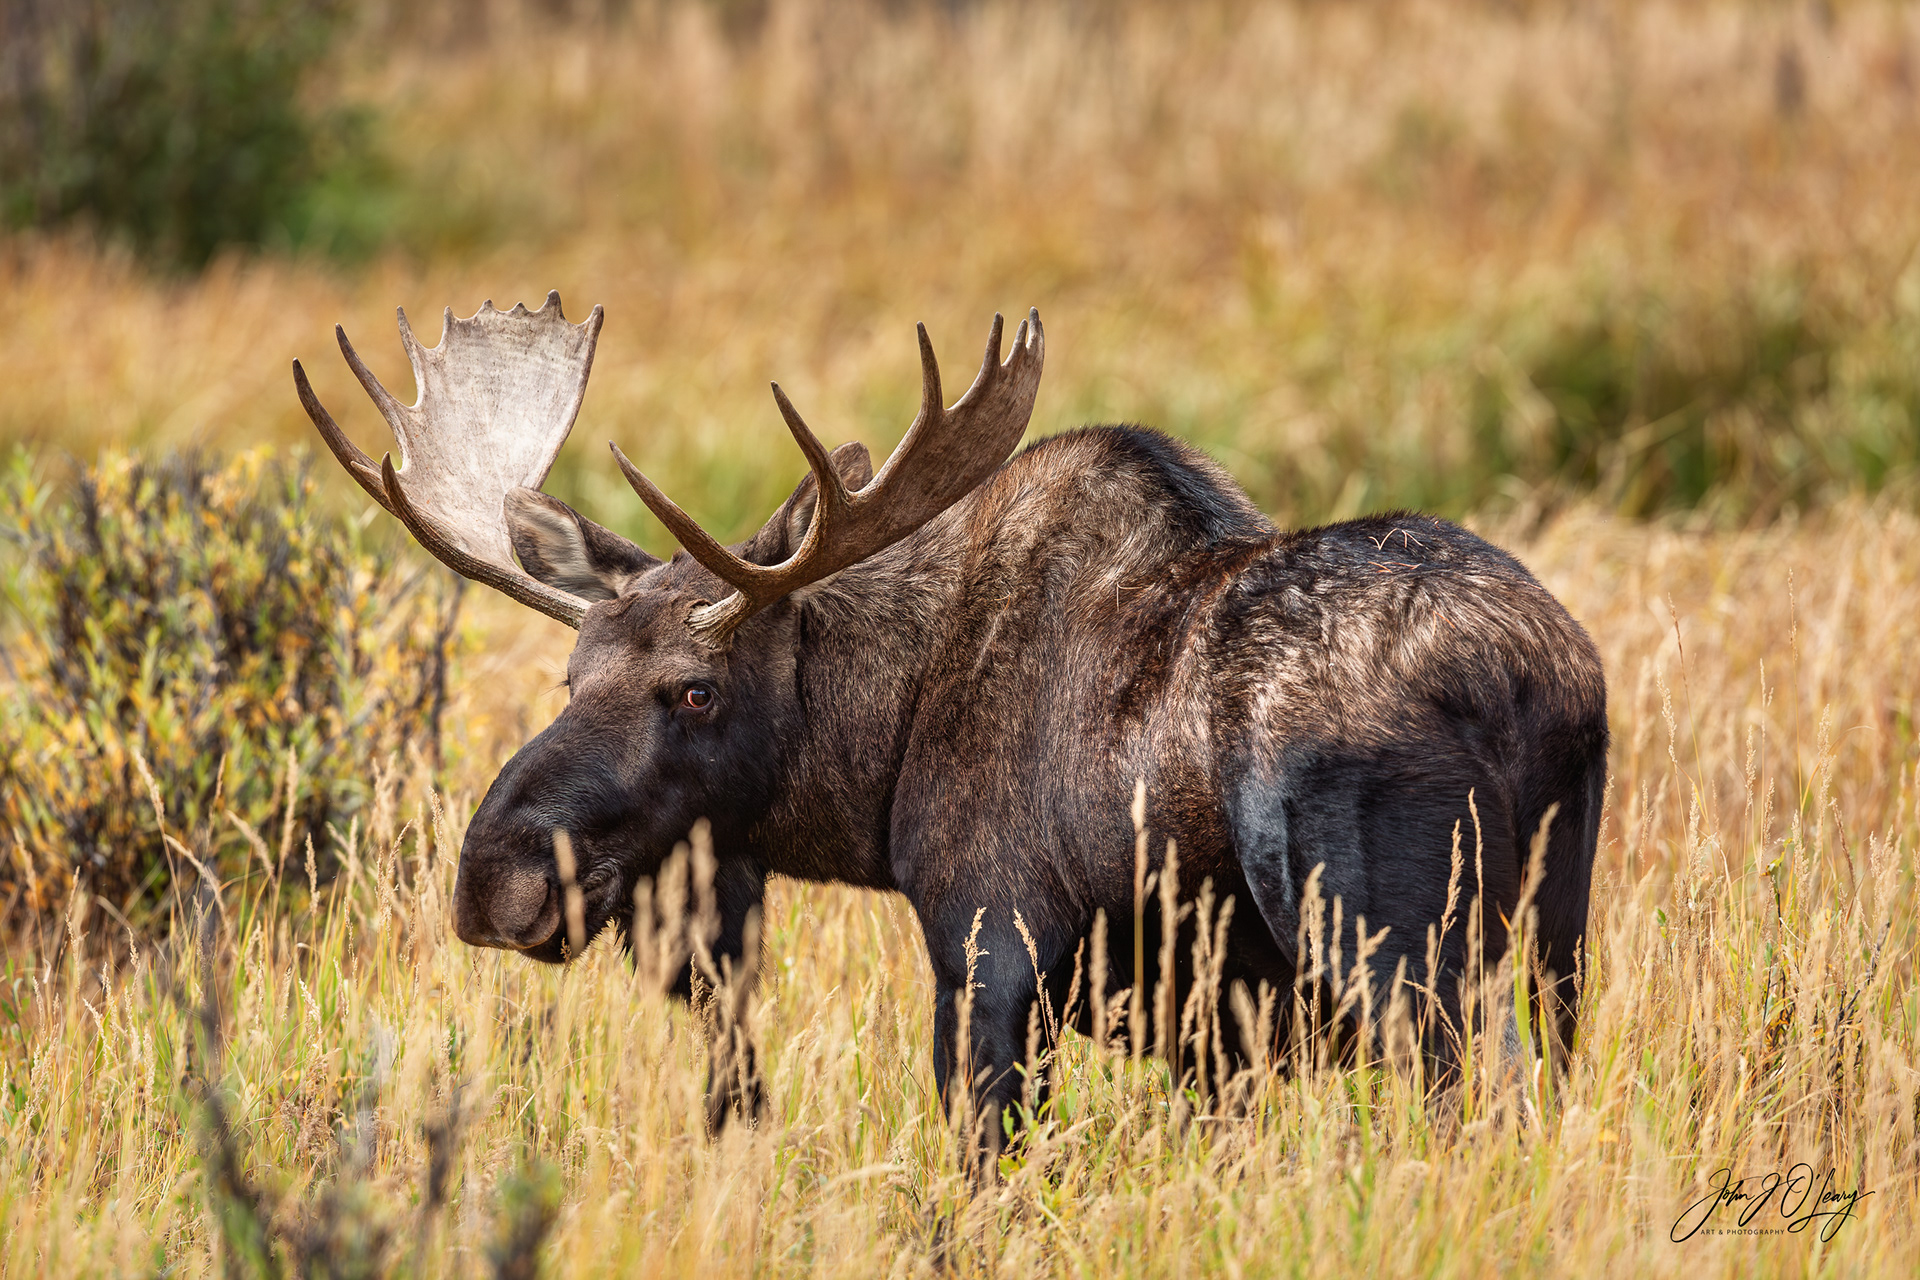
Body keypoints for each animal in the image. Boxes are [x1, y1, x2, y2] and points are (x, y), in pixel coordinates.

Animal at [293, 292, 1608, 1161]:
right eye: (570, 675)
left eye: (696, 688)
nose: (496, 875)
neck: (873, 766)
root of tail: (1539, 675)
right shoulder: (1209, 1034)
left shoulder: (990, 951)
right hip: (1559, 943)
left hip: (1398, 953)